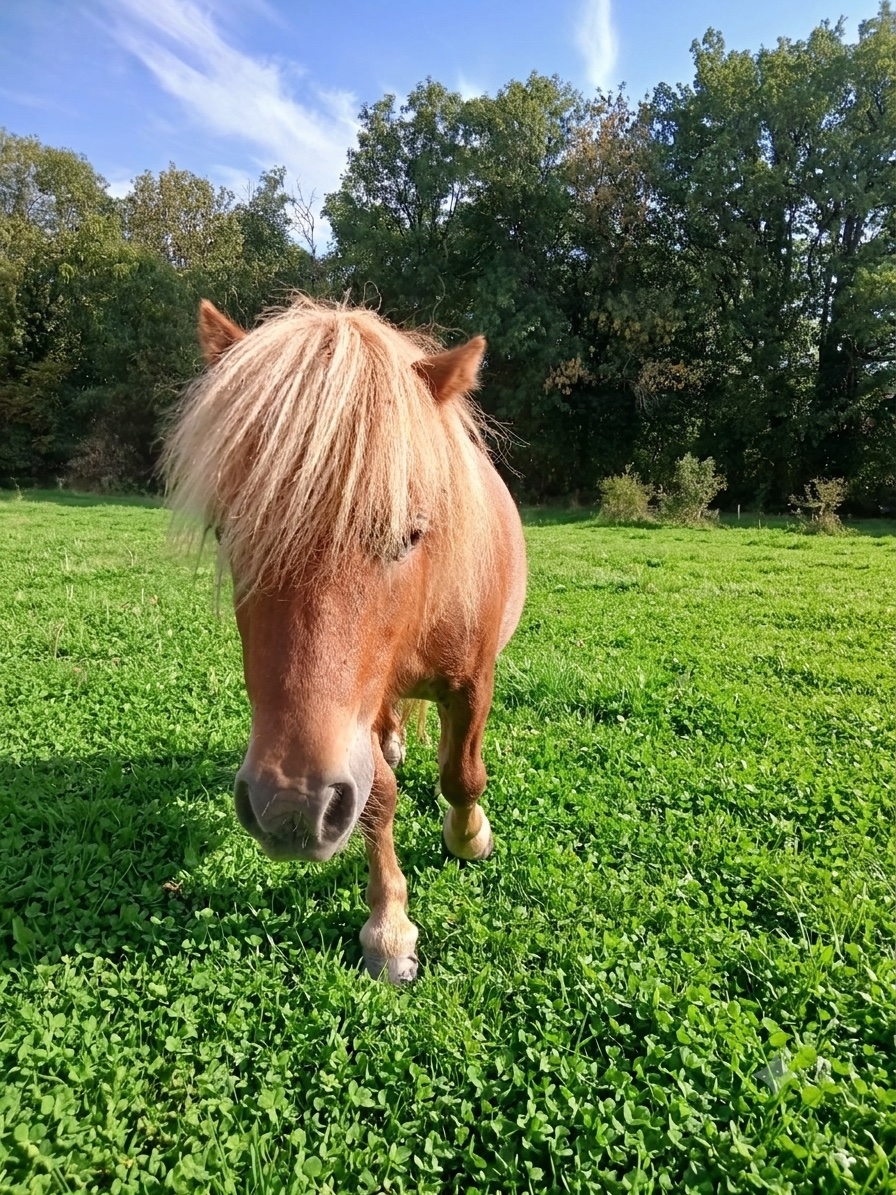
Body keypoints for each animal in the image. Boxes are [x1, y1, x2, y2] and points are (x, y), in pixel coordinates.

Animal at [163, 297, 527, 982]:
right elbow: (377, 800)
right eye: (227, 532)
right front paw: (389, 929)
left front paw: (469, 837)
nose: (289, 809)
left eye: (411, 533)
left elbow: (462, 775)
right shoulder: (353, 726)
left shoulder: (472, 683)